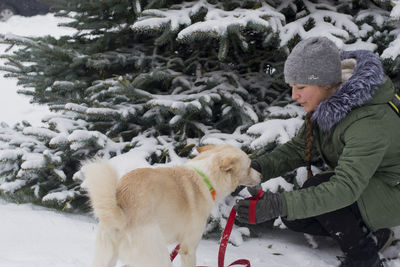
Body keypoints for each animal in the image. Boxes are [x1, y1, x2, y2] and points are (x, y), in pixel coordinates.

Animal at [83, 146, 260, 266]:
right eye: (250, 166)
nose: (262, 175)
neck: (205, 178)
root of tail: (122, 209)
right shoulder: (188, 248)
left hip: (106, 258)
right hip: (159, 258)